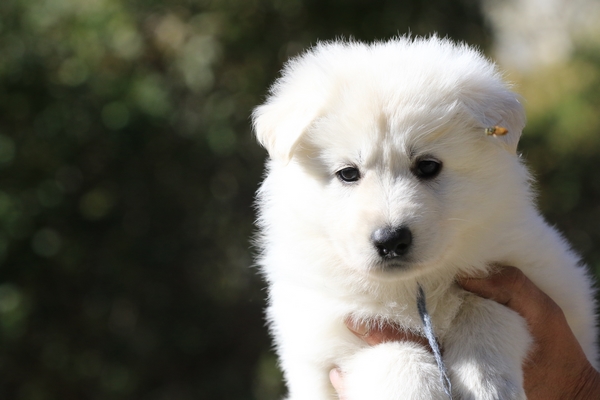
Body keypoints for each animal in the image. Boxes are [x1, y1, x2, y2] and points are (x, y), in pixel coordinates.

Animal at [252, 36, 598, 400]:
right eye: (348, 173)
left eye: (428, 166)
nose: (391, 240)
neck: (416, 285)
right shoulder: (322, 334)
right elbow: (392, 350)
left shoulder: (543, 281)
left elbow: (483, 306)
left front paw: (486, 379)